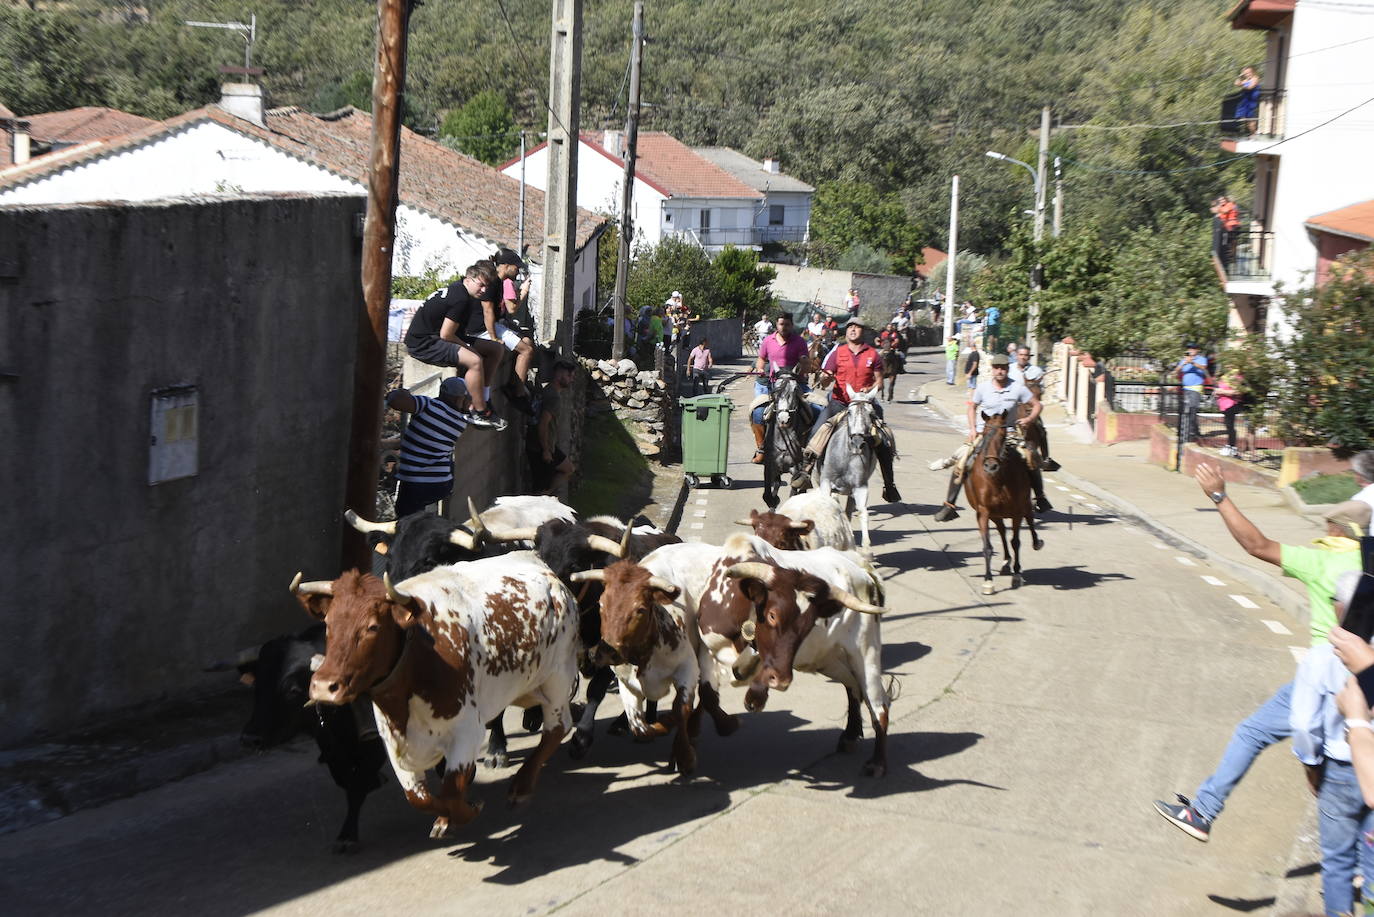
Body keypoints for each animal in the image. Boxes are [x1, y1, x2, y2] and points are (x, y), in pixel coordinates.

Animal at [236, 624, 387, 852]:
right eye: (257, 686)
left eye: (292, 690)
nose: (250, 737)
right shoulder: (330, 747)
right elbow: (344, 779)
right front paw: (374, 782)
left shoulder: (375, 745)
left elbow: (357, 786)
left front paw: (347, 836)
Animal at [295, 552, 579, 841]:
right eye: (328, 624)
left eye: (372, 627)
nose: (324, 685)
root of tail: (537, 562)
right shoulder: (394, 741)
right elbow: (420, 797)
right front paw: (446, 819)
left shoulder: (466, 731)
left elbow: (451, 792)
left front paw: (468, 811)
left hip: (557, 678)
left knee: (558, 728)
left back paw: (521, 786)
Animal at [763, 368, 813, 508]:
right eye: (775, 390)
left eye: (795, 389)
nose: (784, 419)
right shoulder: (770, 466)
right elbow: (768, 495)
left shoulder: (795, 469)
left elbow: (793, 493)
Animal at [813, 387, 879, 552]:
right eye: (849, 412)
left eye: (871, 413)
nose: (857, 442)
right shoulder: (826, 482)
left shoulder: (860, 487)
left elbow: (863, 512)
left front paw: (866, 548)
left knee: (848, 510)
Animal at [961, 409, 1044, 596]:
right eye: (984, 433)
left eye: (1003, 435)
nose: (990, 466)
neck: (998, 479)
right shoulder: (983, 512)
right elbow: (987, 546)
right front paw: (988, 581)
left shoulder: (1017, 512)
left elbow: (1016, 542)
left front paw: (1017, 574)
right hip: (995, 515)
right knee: (1001, 531)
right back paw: (1006, 562)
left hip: (1024, 504)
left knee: (1029, 519)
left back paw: (1036, 543)